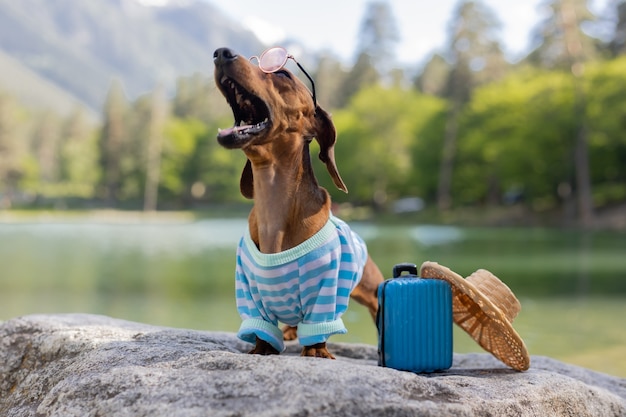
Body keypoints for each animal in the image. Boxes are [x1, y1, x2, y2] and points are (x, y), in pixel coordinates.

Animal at [212, 46, 382, 358]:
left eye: (281, 74)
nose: (221, 53)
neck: (274, 210)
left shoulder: (325, 289)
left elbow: (318, 329)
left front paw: (316, 351)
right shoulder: (249, 293)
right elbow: (262, 330)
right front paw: (261, 349)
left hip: (370, 286)